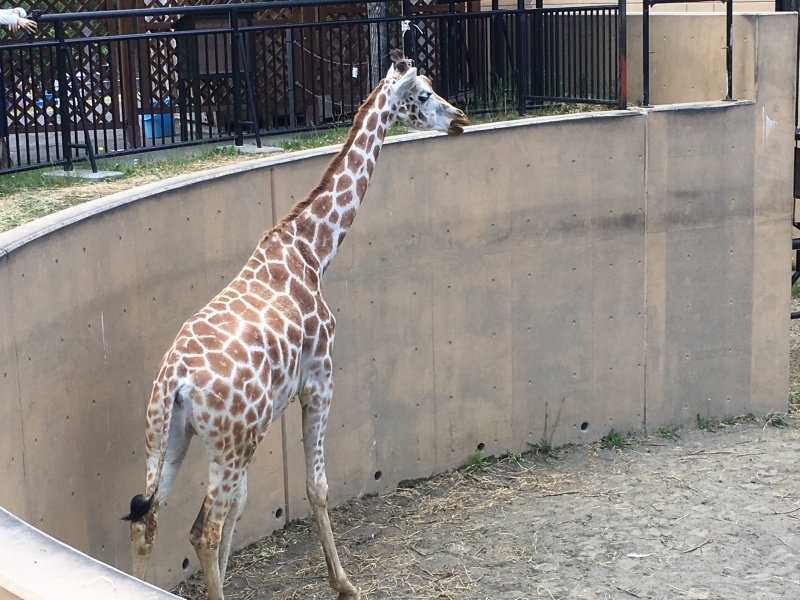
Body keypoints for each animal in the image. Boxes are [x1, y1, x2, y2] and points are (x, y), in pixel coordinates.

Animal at [122, 51, 466, 600]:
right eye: (425, 94)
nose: (460, 118)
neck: (311, 250)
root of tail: (175, 381)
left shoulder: (268, 416)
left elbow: (244, 507)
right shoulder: (319, 380)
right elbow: (316, 486)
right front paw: (344, 584)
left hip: (168, 438)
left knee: (147, 521)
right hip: (227, 443)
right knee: (202, 530)